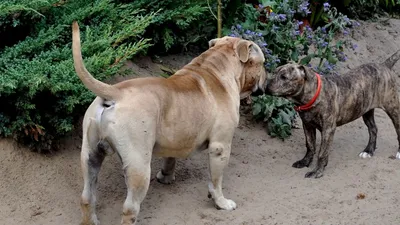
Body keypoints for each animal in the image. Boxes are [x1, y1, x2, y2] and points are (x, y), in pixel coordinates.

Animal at [266, 50, 400, 178]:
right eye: (274, 73)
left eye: (284, 77)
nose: (266, 86)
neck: (313, 94)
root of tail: (384, 65)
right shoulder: (307, 125)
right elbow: (310, 145)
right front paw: (305, 162)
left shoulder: (328, 129)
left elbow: (322, 152)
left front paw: (317, 171)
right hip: (366, 110)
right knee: (373, 129)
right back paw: (368, 151)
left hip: (393, 109)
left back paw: (397, 152)